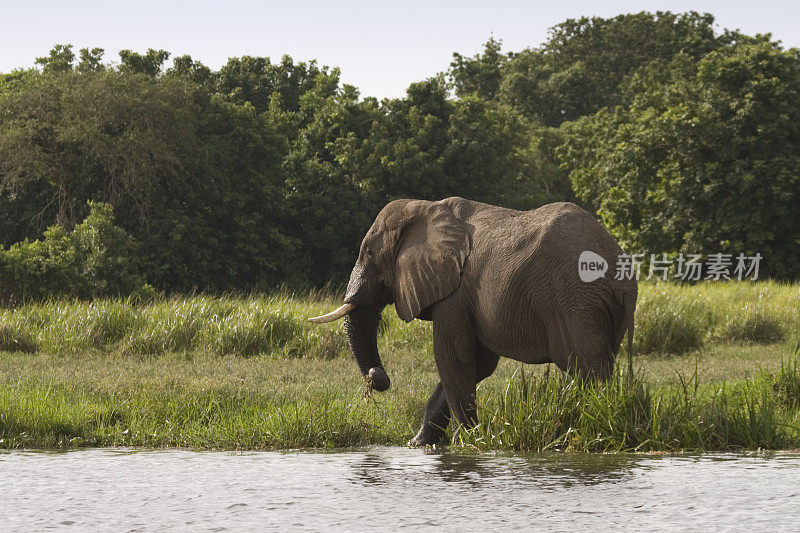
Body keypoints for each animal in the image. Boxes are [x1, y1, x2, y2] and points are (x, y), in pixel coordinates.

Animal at [308, 195, 636, 444]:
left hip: (576, 302)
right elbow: (477, 364)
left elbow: (453, 358)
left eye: (369, 254)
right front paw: (420, 445)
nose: (378, 376)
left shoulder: (455, 294)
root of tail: (620, 275)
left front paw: (468, 442)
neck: (426, 209)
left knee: (587, 369)